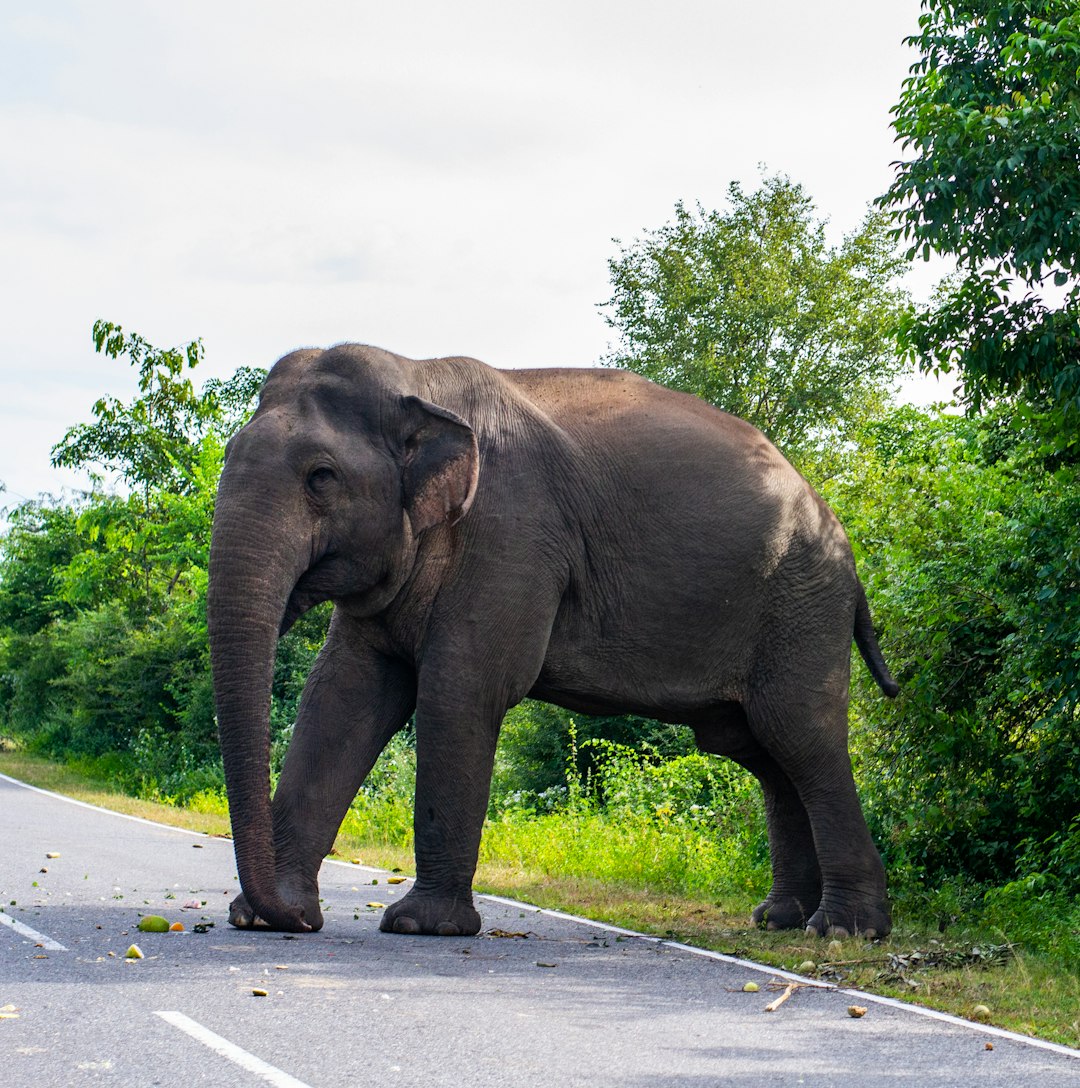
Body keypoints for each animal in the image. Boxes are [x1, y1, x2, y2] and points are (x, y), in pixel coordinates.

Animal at [206, 341, 896, 944]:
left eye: (320, 477)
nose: (299, 924)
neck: (417, 376)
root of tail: (848, 551)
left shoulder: (511, 537)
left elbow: (461, 691)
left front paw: (420, 927)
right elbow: (343, 695)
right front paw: (265, 918)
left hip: (801, 608)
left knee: (798, 734)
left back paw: (843, 931)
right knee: (761, 751)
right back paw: (781, 919)